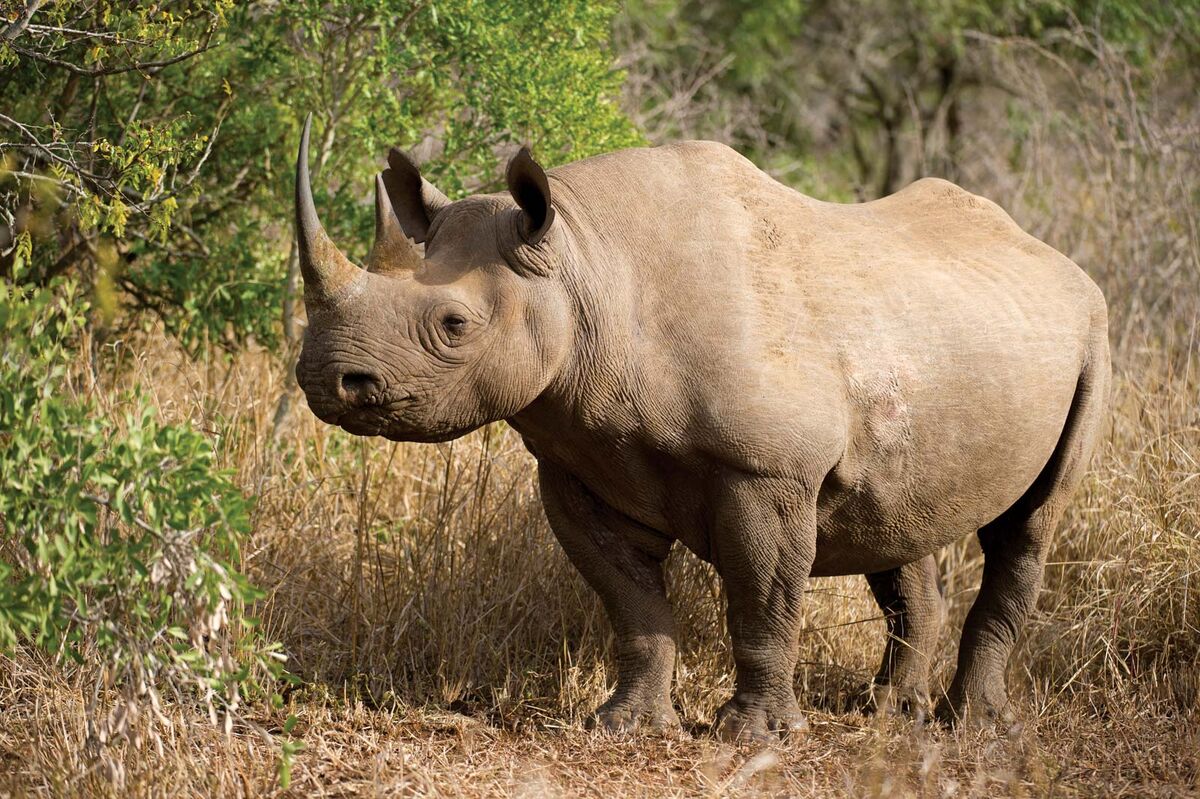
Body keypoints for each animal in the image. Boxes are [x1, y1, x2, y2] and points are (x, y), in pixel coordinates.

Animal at [293, 116, 1110, 740]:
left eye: (454, 325)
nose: (327, 380)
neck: (585, 266)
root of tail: (1053, 255)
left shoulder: (766, 470)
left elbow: (759, 602)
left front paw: (756, 736)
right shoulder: (581, 463)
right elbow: (632, 603)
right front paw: (624, 725)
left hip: (1091, 334)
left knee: (1030, 524)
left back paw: (972, 727)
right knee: (898, 519)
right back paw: (887, 713)